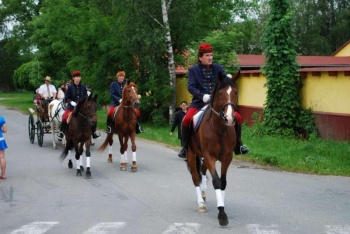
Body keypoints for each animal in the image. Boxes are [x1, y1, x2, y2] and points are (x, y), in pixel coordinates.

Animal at [186, 70, 241, 226]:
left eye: (236, 92)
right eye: (221, 94)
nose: (230, 119)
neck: (219, 128)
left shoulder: (227, 157)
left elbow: (223, 182)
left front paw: (221, 204)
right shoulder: (209, 155)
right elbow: (216, 181)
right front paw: (222, 214)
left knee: (203, 170)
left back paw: (204, 193)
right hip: (191, 154)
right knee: (196, 177)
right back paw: (200, 203)